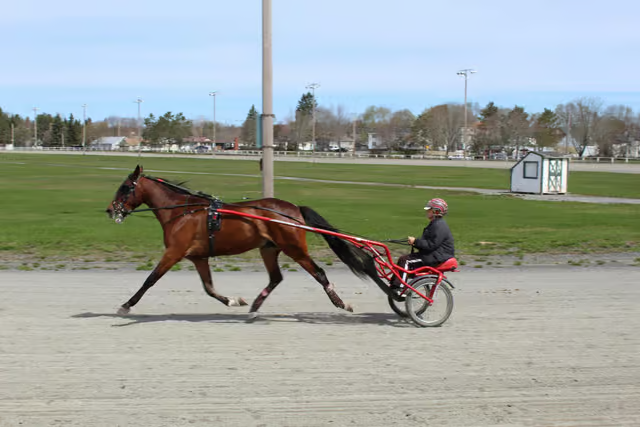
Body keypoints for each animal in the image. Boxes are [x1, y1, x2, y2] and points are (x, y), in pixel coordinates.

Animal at [106, 165, 386, 319]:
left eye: (124, 187)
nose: (110, 210)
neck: (182, 211)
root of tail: (294, 209)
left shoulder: (174, 252)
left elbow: (150, 280)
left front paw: (125, 306)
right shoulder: (198, 256)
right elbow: (208, 288)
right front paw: (233, 301)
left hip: (294, 248)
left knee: (319, 273)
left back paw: (341, 304)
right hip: (269, 249)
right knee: (276, 278)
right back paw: (254, 307)